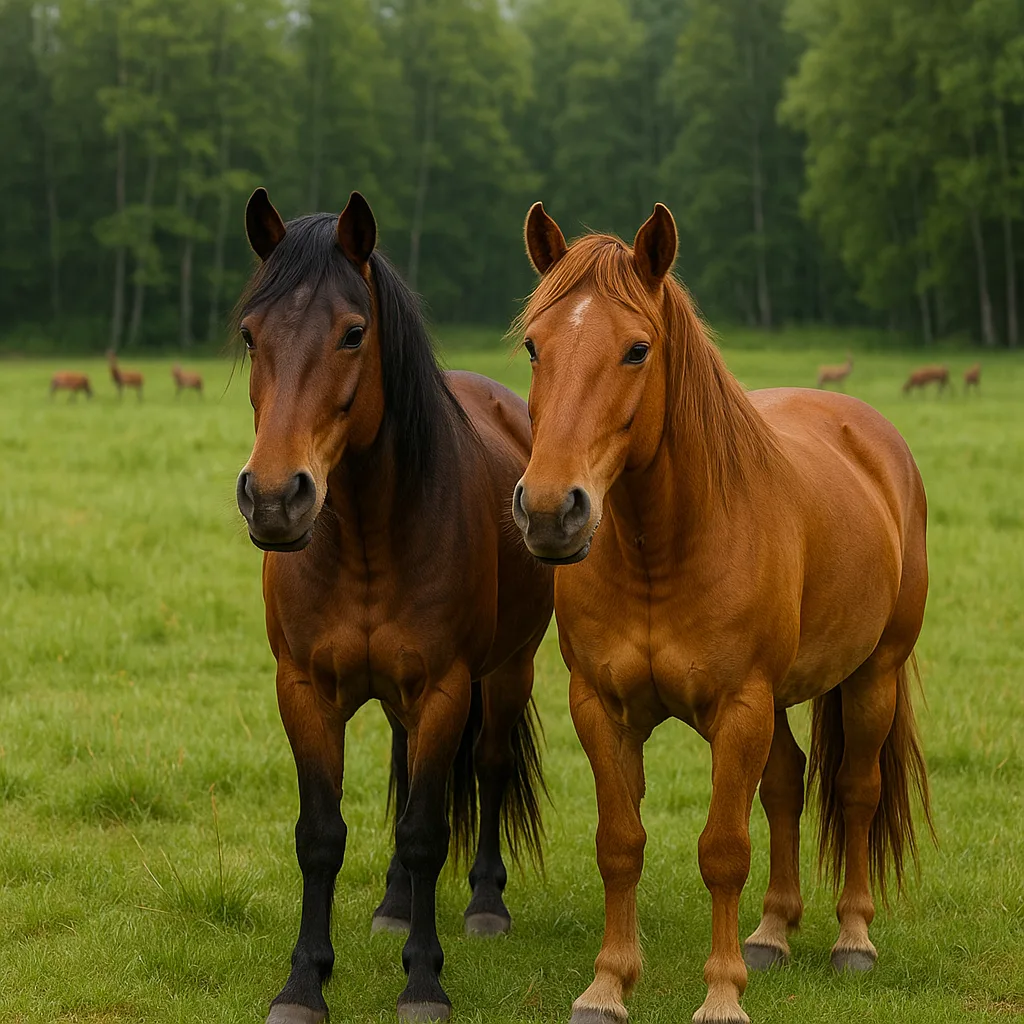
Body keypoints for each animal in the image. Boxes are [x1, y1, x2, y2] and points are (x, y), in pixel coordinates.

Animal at [234, 188, 554, 1024]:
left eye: (353, 332)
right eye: (251, 334)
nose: (274, 498)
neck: (371, 535)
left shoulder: (445, 688)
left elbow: (425, 833)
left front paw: (423, 980)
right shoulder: (304, 691)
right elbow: (322, 834)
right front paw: (304, 983)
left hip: (506, 673)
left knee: (490, 766)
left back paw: (483, 905)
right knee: (407, 771)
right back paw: (395, 904)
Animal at [510, 202, 932, 1024]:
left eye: (637, 349)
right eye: (535, 345)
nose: (549, 511)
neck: (663, 548)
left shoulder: (739, 707)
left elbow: (723, 850)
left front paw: (721, 995)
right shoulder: (601, 708)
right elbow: (620, 842)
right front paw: (607, 985)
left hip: (872, 676)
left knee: (856, 791)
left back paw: (852, 940)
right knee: (788, 784)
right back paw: (771, 932)